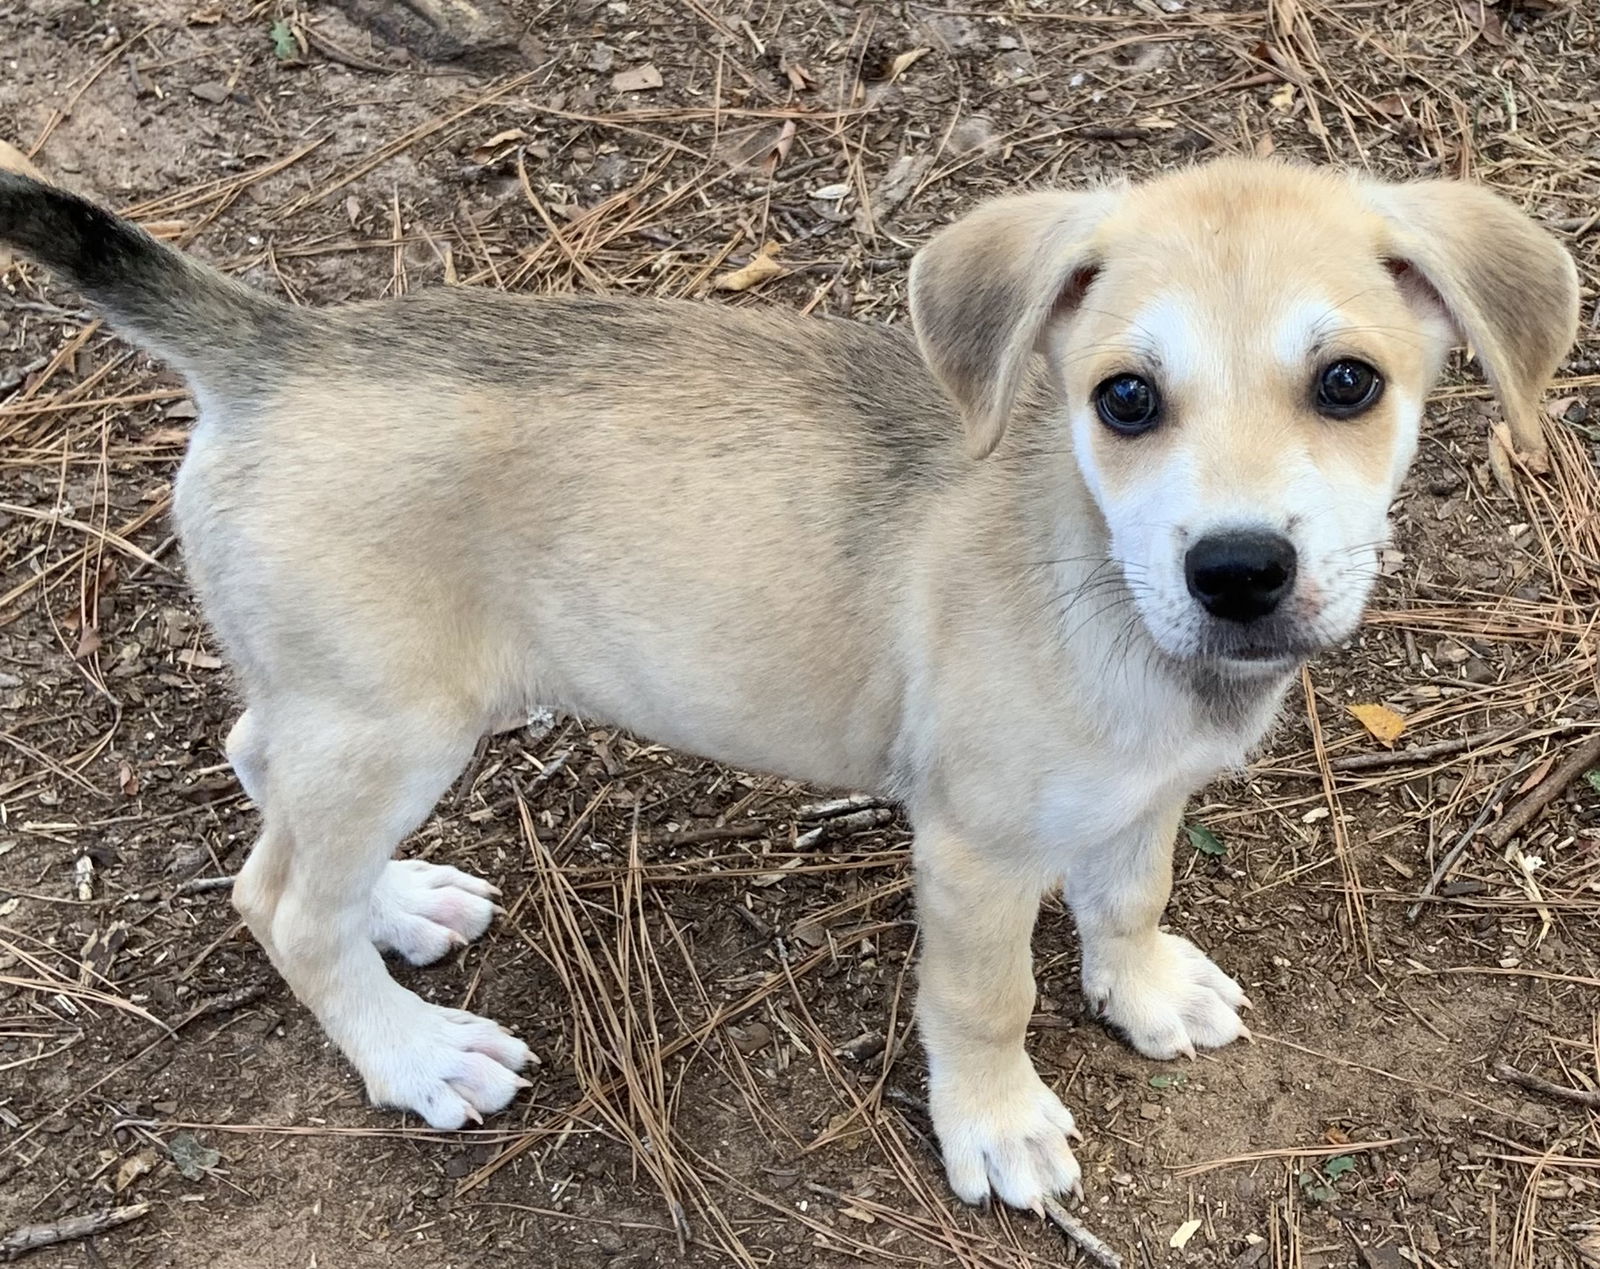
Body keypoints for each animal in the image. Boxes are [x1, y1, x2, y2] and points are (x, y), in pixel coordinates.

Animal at [0, 156, 1574, 1209]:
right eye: (1125, 399)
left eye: (1349, 384)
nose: (1238, 571)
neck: (1092, 571)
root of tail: (282, 348)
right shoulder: (977, 850)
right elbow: (987, 1002)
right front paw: (996, 1126)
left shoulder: (1142, 797)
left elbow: (1130, 895)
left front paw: (1140, 990)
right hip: (395, 723)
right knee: (279, 899)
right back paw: (412, 1050)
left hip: (351, 708)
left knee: (263, 779)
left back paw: (401, 904)